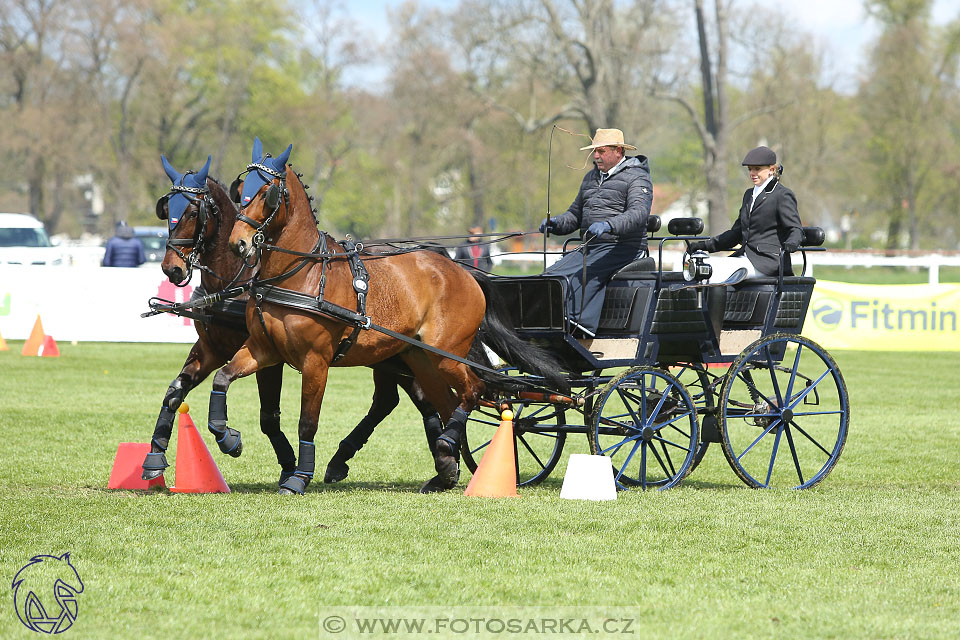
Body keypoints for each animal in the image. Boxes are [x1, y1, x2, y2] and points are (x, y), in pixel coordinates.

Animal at [145, 155, 450, 490]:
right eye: (166, 209)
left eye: (191, 211)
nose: (171, 268)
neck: (237, 279)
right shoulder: (212, 348)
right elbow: (175, 393)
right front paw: (155, 458)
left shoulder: (272, 358)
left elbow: (269, 417)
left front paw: (284, 463)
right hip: (390, 355)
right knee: (395, 400)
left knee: (421, 400)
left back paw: (444, 465)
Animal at [210, 138, 560, 492]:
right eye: (240, 191)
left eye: (267, 192)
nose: (239, 243)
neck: (301, 274)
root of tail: (462, 269)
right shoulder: (263, 349)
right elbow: (222, 378)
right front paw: (227, 437)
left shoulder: (315, 360)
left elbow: (307, 422)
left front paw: (299, 477)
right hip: (421, 359)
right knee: (448, 403)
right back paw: (445, 470)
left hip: (447, 354)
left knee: (473, 392)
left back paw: (447, 447)